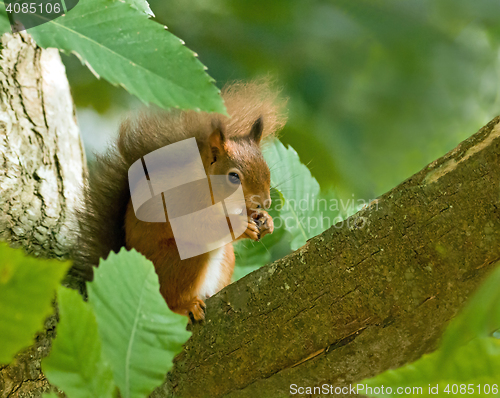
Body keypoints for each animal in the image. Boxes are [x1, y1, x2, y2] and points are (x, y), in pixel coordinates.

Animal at [72, 80, 288, 320]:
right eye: (233, 177)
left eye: (267, 170)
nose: (265, 203)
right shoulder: (180, 202)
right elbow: (199, 227)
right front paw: (241, 226)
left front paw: (265, 220)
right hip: (179, 262)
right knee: (171, 300)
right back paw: (185, 306)